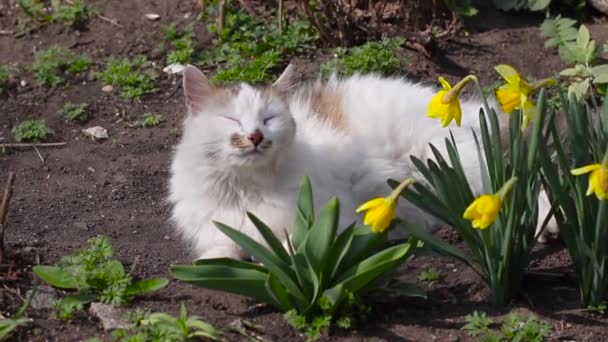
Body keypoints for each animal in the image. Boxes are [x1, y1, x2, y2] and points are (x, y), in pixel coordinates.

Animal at [169, 64, 560, 260]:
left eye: (269, 119)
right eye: (232, 120)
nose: (255, 136)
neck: (247, 189)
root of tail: (474, 107)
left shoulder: (330, 218)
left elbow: (292, 245)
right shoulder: (214, 228)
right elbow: (220, 250)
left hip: (459, 163)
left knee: (525, 186)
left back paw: (547, 227)